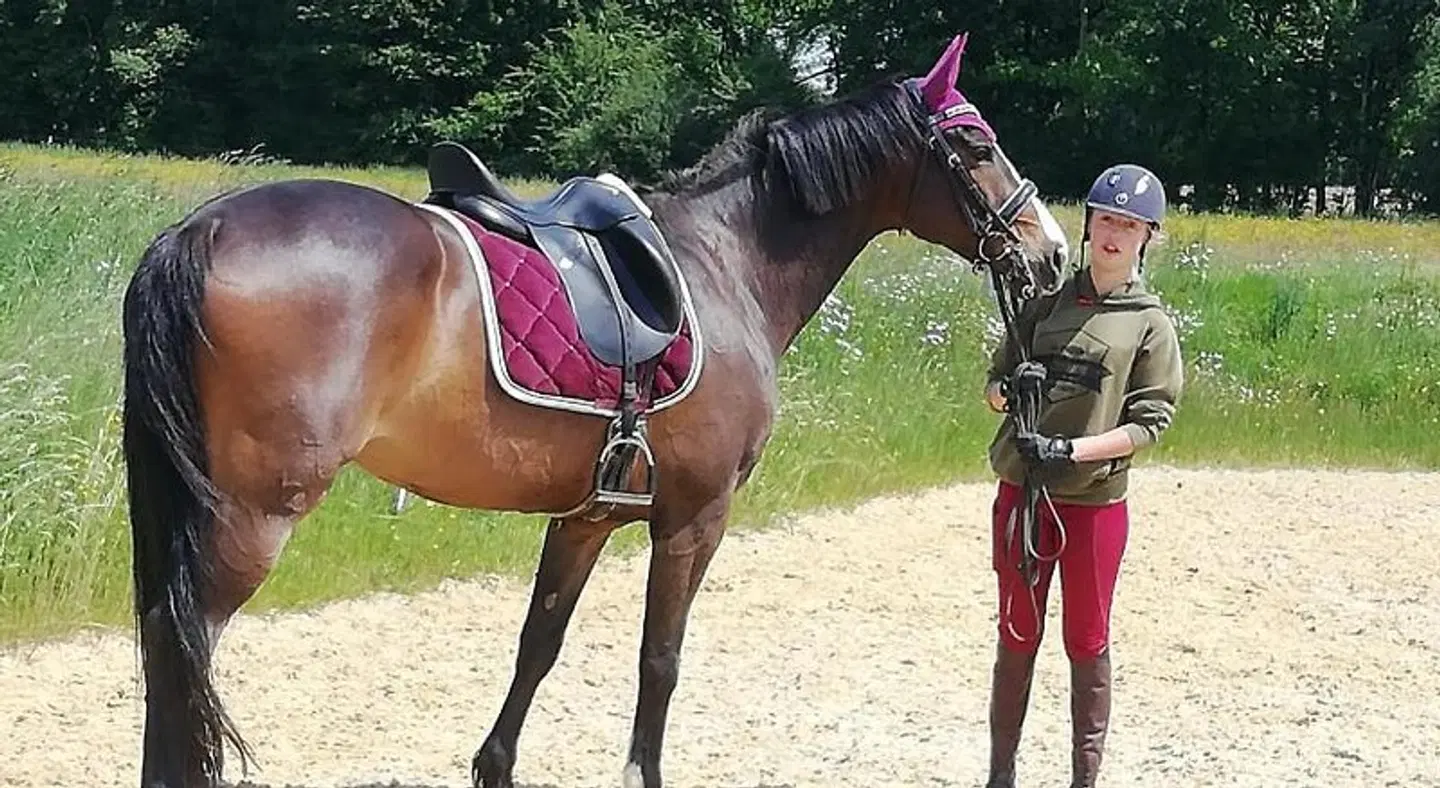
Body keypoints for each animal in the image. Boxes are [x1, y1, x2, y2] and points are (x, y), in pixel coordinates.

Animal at [120, 32, 1067, 788]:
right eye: (975, 143)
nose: (1052, 251)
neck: (726, 264)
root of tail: (198, 232)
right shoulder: (694, 516)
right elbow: (661, 659)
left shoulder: (588, 515)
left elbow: (539, 642)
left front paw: (495, 766)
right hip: (252, 516)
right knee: (185, 644)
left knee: (164, 650)